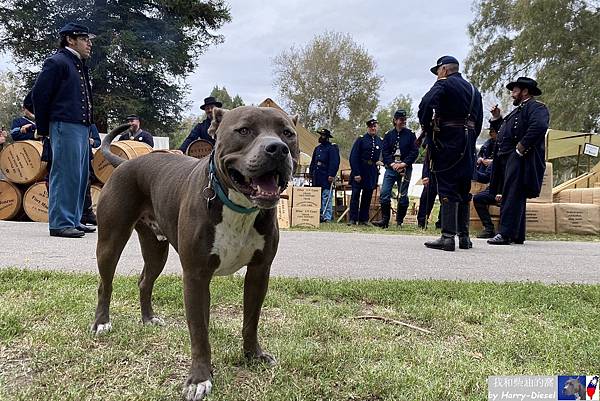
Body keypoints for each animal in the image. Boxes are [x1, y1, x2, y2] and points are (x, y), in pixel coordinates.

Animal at [90, 106, 300, 400]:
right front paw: (200, 378)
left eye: (287, 134)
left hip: (156, 249)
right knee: (105, 283)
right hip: (111, 240)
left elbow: (251, 320)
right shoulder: (196, 276)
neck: (237, 206)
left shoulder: (259, 272)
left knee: (145, 281)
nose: (277, 149)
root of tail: (124, 163)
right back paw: (101, 323)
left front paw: (253, 356)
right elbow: (199, 331)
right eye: (244, 130)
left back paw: (148, 319)